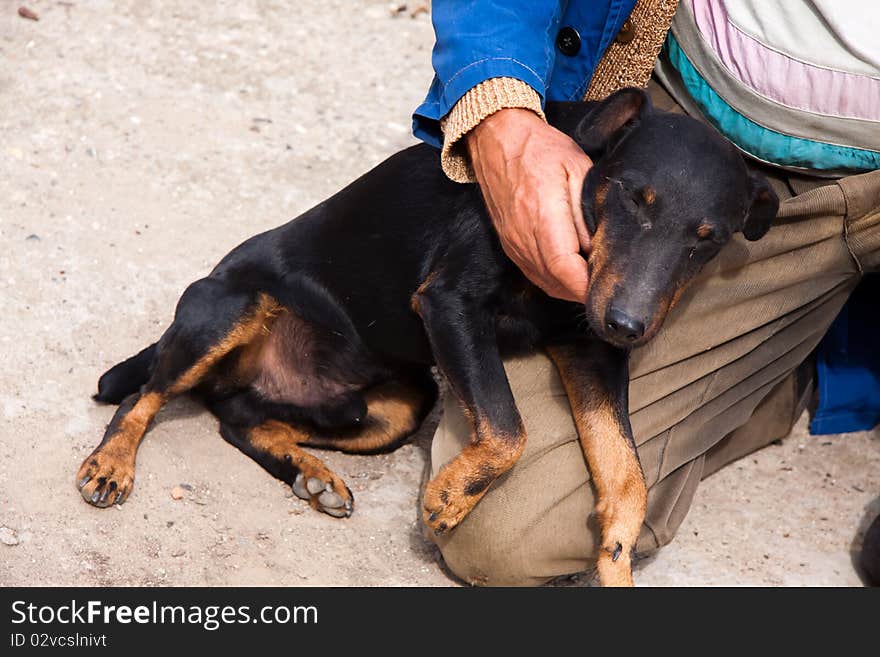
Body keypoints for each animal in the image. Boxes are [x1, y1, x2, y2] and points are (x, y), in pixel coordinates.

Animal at [75, 87, 776, 584]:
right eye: (634, 197)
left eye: (707, 240)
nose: (629, 326)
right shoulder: (450, 305)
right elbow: (508, 427)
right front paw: (451, 496)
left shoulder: (588, 349)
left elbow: (627, 472)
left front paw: (617, 560)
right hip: (226, 311)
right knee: (143, 397)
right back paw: (110, 465)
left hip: (395, 407)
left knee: (240, 420)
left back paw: (312, 475)